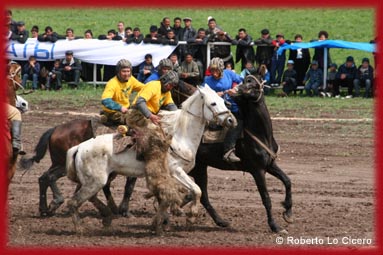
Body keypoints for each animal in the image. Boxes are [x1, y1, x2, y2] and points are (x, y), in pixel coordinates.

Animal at [65, 84, 237, 233]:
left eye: (223, 101)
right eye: (213, 103)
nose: (231, 120)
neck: (179, 137)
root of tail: (79, 147)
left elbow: (170, 198)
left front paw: (160, 222)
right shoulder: (176, 171)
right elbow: (196, 190)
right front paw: (190, 217)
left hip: (94, 180)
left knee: (88, 197)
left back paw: (107, 216)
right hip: (95, 181)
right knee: (74, 201)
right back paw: (81, 227)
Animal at [115, 75, 292, 233]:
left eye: (251, 83)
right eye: (244, 82)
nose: (234, 91)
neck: (260, 134)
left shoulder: (269, 165)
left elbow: (287, 181)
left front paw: (288, 212)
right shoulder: (257, 170)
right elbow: (266, 198)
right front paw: (275, 226)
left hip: (200, 169)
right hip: (199, 169)